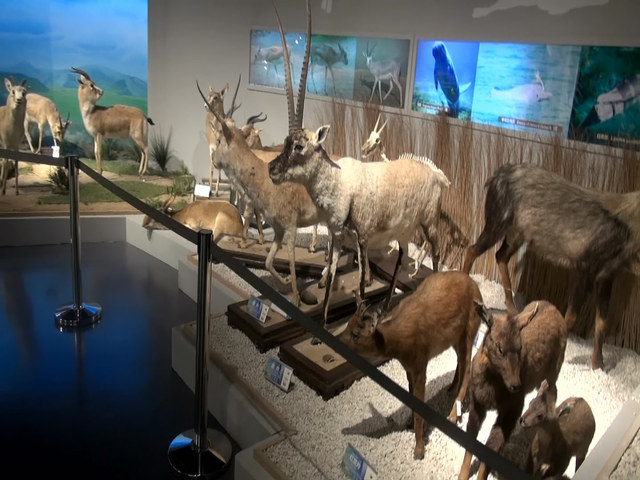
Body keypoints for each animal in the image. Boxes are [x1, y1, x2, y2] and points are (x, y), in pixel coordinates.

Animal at [337, 270, 483, 460]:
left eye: (356, 334)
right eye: (347, 325)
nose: (337, 340)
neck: (395, 342)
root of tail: (476, 288)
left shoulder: (420, 365)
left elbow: (419, 407)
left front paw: (419, 449)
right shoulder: (408, 368)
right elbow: (411, 398)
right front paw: (408, 422)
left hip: (469, 330)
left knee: (468, 368)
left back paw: (453, 414)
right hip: (455, 337)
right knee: (461, 361)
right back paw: (451, 389)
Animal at [457, 300, 568, 480]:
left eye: (520, 347)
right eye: (500, 348)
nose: (516, 385)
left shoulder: (513, 409)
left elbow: (492, 446)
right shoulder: (477, 403)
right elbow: (471, 436)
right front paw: (462, 475)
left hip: (555, 369)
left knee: (553, 391)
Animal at [461, 162, 640, 370]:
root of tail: (497, 174)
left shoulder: (607, 276)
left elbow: (602, 324)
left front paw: (598, 366)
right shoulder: (586, 269)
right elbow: (570, 317)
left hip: (517, 233)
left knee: (500, 256)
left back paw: (513, 309)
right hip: (498, 222)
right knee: (471, 250)